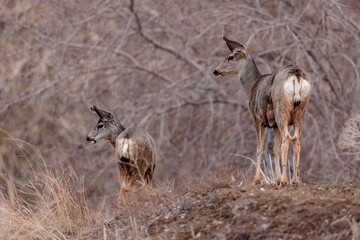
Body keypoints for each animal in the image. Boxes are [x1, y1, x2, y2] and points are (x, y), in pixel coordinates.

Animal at [212, 35, 310, 187]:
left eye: (230, 57)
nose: (215, 70)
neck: (253, 85)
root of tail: (297, 77)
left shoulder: (258, 118)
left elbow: (259, 149)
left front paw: (257, 179)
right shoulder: (274, 125)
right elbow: (274, 150)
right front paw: (276, 179)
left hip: (281, 110)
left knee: (286, 139)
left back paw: (284, 181)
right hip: (301, 112)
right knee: (296, 141)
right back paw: (294, 181)